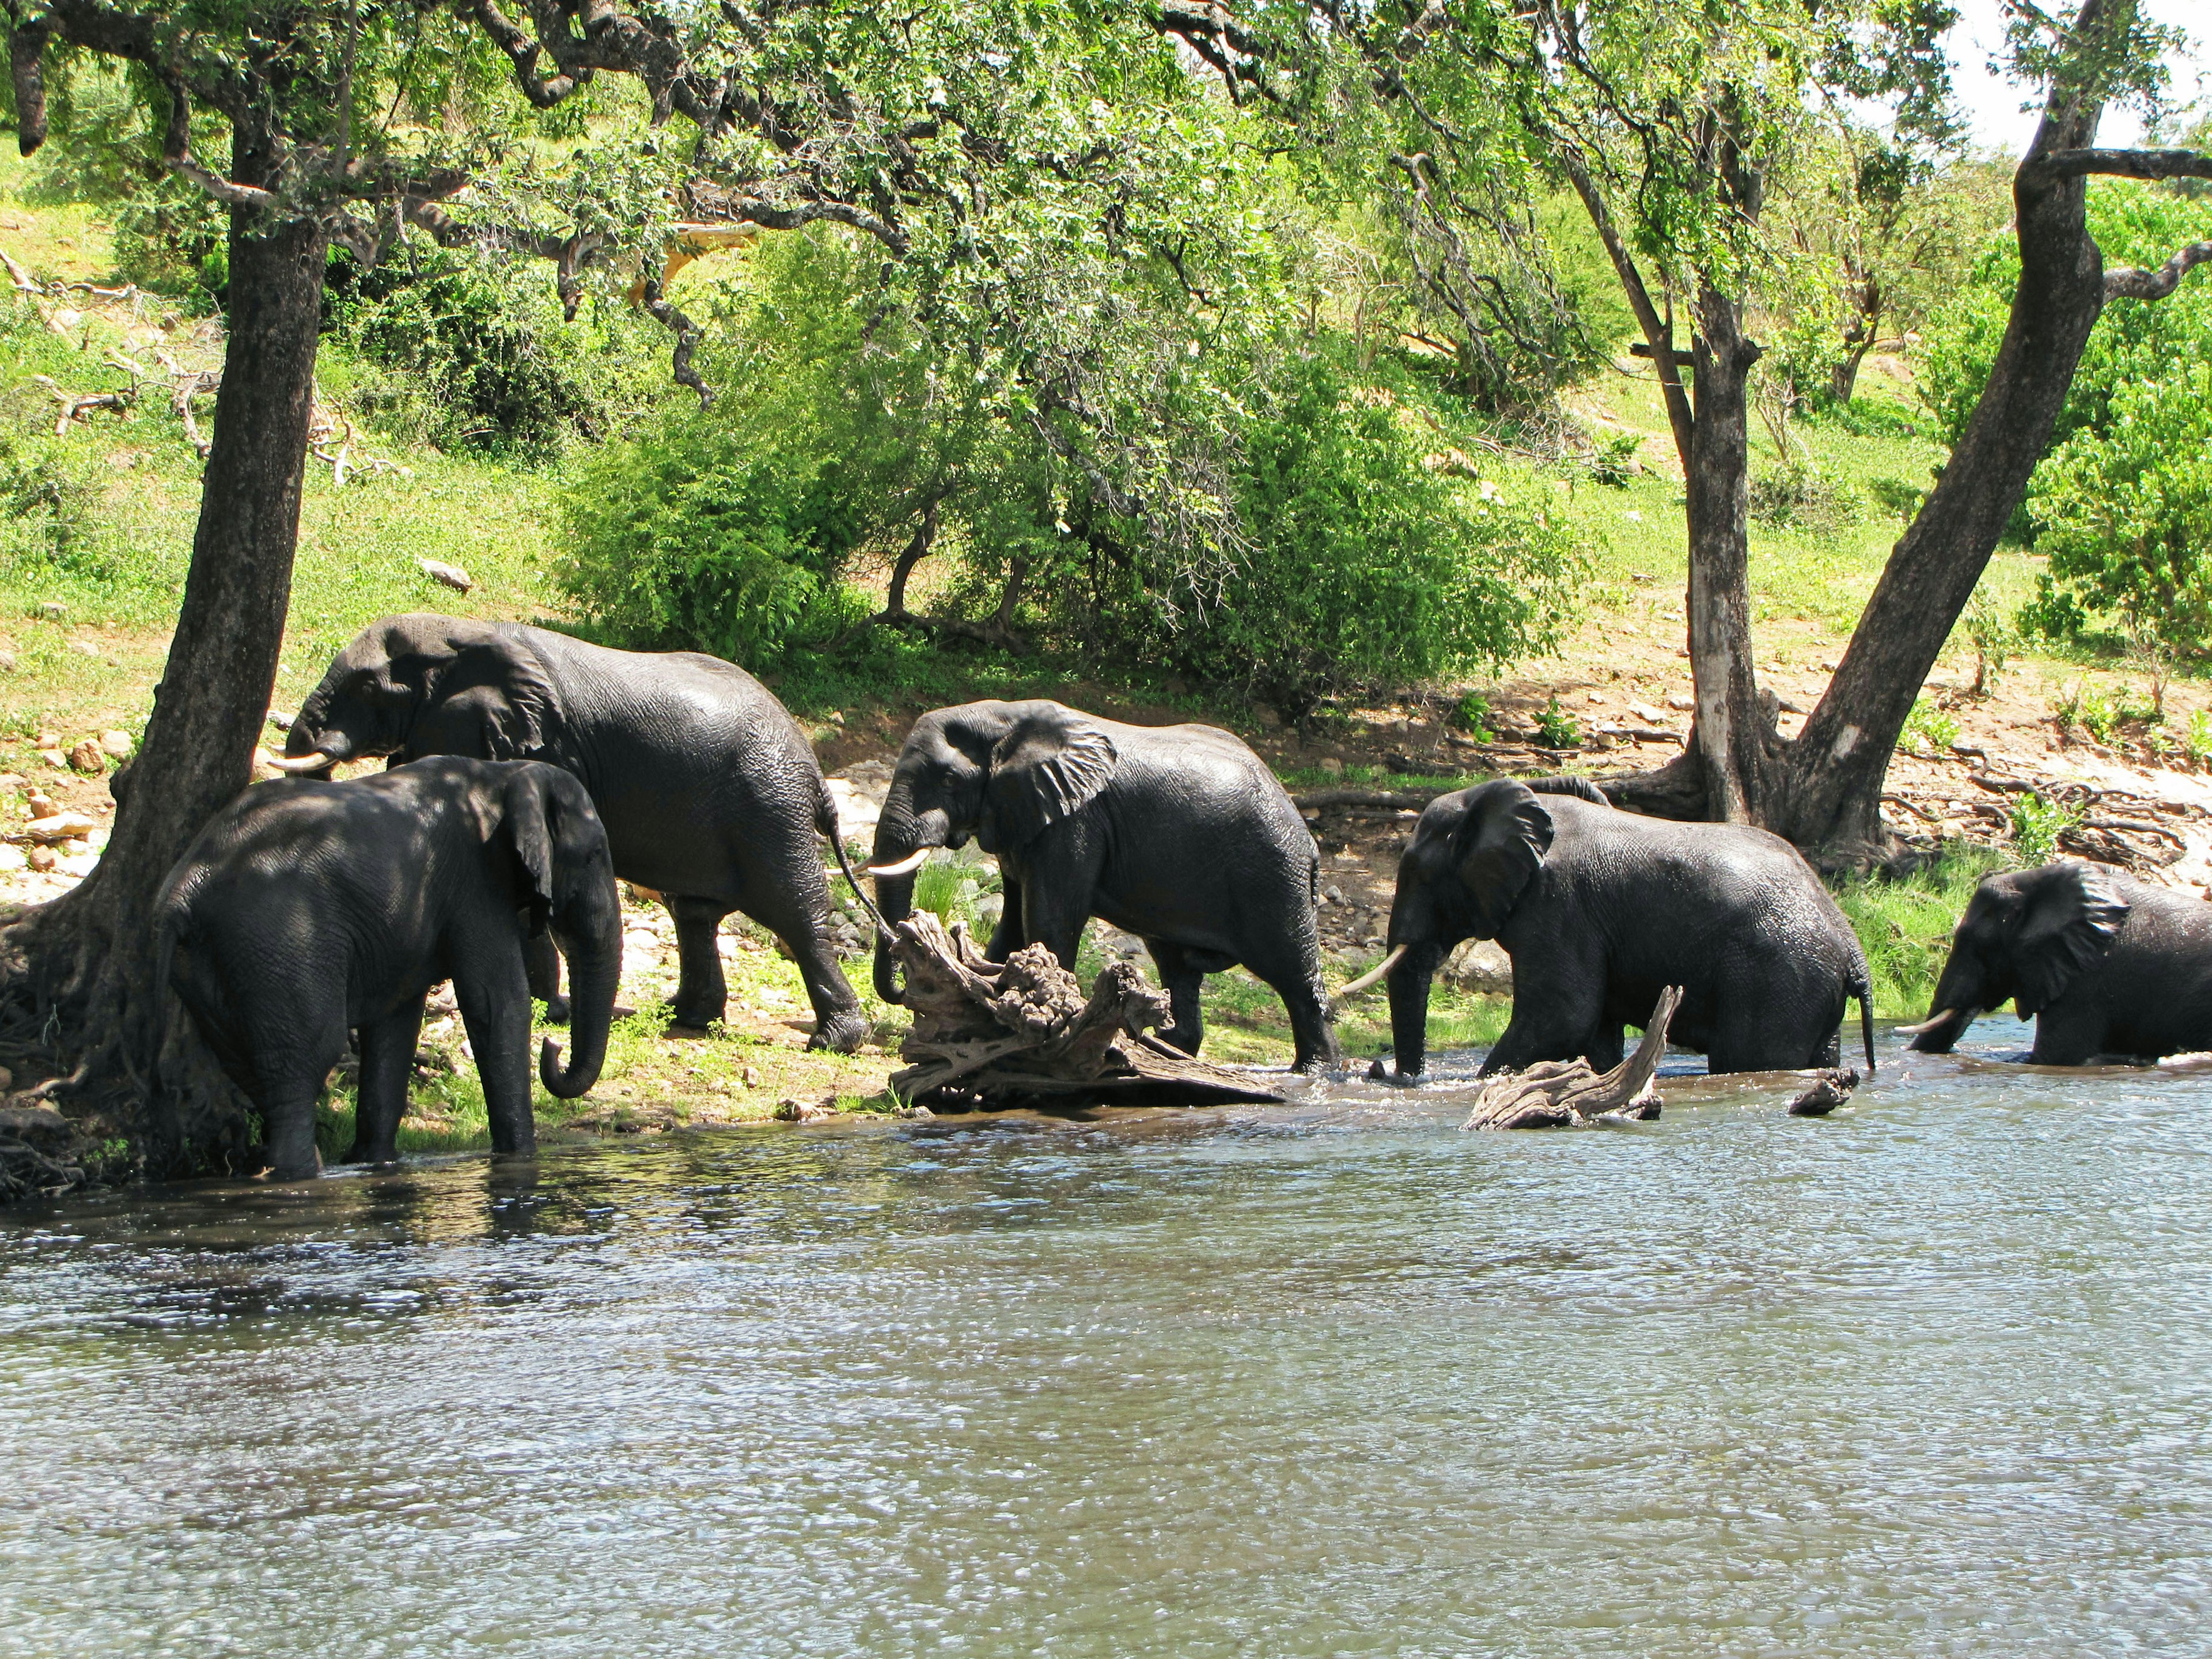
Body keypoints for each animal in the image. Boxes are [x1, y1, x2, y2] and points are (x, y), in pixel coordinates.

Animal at [153, 760, 623, 1185]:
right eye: (594, 855)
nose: (553, 1047)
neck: (503, 776)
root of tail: (186, 888)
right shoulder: (476, 883)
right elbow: (497, 1003)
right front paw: (521, 1158)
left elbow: (395, 1025)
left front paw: (377, 1163)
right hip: (278, 938)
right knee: (305, 1060)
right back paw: (301, 1177)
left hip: (210, 964)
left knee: (250, 1066)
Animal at [274, 610, 862, 1052]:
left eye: (368, 687)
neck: (461, 631)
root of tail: (816, 774)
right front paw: (542, 1007)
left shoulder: (546, 749)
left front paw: (545, 1011)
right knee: (694, 913)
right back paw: (687, 1017)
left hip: (769, 807)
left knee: (794, 911)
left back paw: (833, 1042)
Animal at [867, 699, 1344, 1066]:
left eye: (949, 780)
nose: (904, 988)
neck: (1004, 718)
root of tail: (1308, 838)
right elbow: (1012, 925)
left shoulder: (1077, 823)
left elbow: (1049, 920)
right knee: (1179, 970)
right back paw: (1172, 1052)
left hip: (1273, 876)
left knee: (1296, 977)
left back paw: (1314, 1074)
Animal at [1354, 783, 1876, 1084]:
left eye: (1419, 873)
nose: (1386, 1072)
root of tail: (1854, 949)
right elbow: (1593, 1031)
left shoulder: (1558, 904)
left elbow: (1563, 1016)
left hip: (1778, 975)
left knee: (1747, 1058)